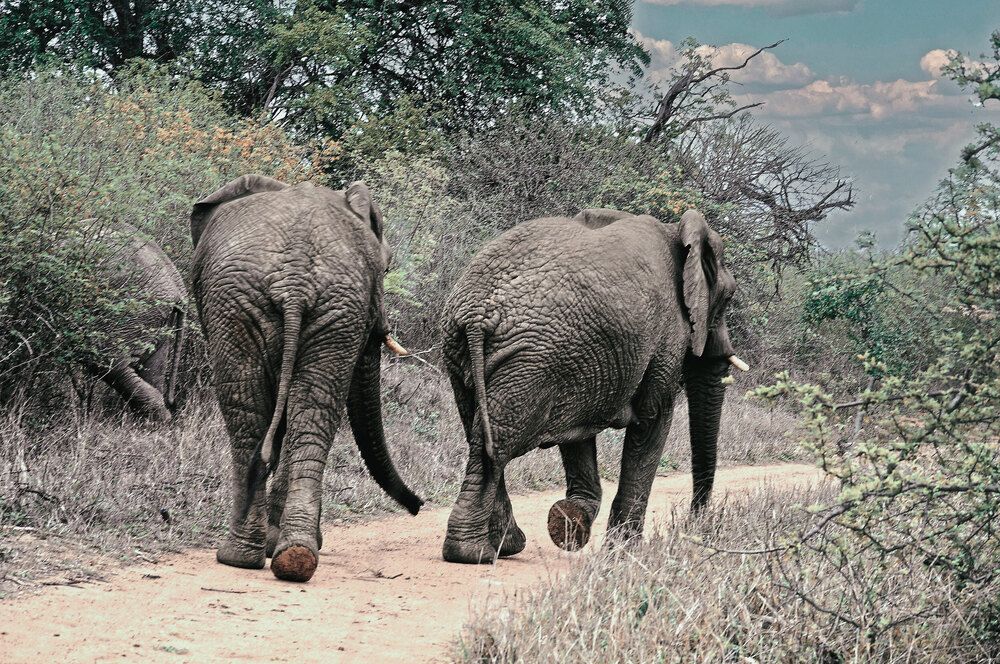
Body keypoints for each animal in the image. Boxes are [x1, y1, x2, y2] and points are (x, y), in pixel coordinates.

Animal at [189, 174, 423, 583]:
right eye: (385, 268)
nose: (418, 507)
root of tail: (295, 279)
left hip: (300, 306)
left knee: (264, 413)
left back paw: (247, 555)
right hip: (303, 305)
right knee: (299, 410)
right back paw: (289, 555)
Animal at [439, 208, 748, 564]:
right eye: (728, 297)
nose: (694, 524)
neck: (678, 232)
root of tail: (476, 315)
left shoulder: (580, 362)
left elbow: (578, 433)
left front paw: (570, 521)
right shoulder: (667, 333)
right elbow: (654, 418)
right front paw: (624, 552)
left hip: (465, 350)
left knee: (480, 433)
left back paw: (505, 545)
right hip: (530, 359)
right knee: (499, 442)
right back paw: (474, 553)